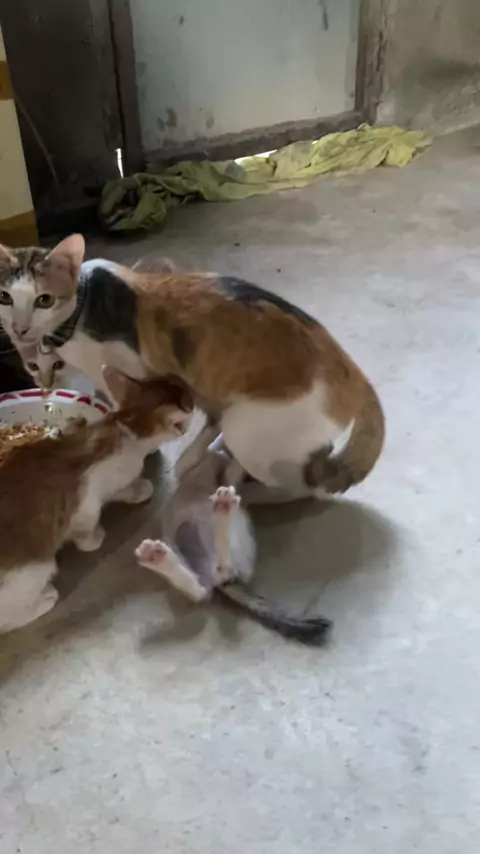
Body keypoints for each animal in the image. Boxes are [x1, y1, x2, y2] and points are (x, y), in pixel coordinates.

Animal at [0, 234, 385, 497]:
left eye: (43, 299)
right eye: (5, 297)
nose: (20, 328)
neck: (80, 309)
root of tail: (357, 377)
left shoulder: (133, 368)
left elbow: (127, 399)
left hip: (249, 425)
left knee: (300, 484)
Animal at [0, 369, 192, 633]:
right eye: (185, 397)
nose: (194, 398)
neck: (129, 434)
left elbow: (117, 491)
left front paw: (136, 490)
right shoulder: (85, 498)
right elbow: (87, 525)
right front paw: (93, 537)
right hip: (34, 570)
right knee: (7, 619)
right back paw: (46, 599)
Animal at [135, 422, 331, 643]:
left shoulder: (236, 483)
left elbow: (232, 470)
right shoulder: (186, 466)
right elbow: (205, 452)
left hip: (228, 538)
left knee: (212, 582)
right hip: (183, 540)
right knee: (204, 588)